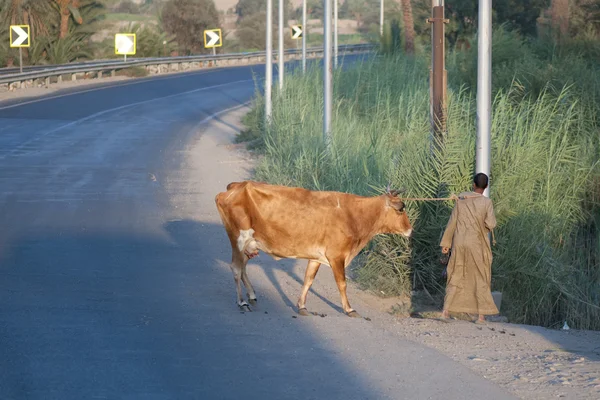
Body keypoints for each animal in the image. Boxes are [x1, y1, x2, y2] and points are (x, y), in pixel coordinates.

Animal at [216, 180, 412, 318]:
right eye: (401, 209)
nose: (410, 230)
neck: (354, 215)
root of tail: (236, 186)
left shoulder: (316, 257)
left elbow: (308, 280)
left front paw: (302, 306)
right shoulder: (336, 256)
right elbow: (342, 283)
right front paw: (349, 309)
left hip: (250, 244)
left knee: (243, 267)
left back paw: (252, 295)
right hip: (239, 238)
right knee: (236, 267)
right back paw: (242, 302)